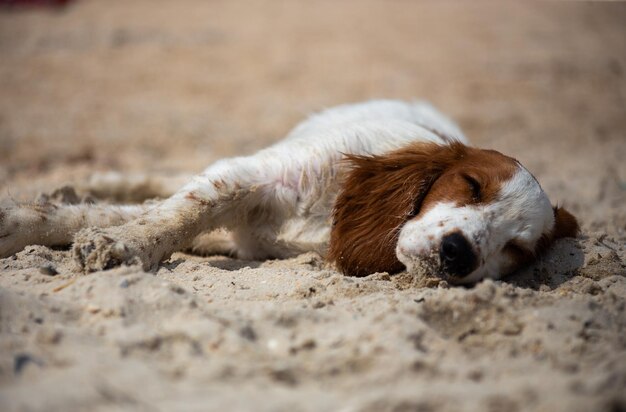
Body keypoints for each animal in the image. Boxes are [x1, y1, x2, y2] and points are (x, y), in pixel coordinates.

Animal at [0, 100, 576, 284]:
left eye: (515, 250)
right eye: (471, 185)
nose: (459, 254)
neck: (328, 216)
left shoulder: (239, 237)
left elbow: (115, 214)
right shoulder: (243, 174)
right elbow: (169, 212)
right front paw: (121, 244)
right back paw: (96, 177)